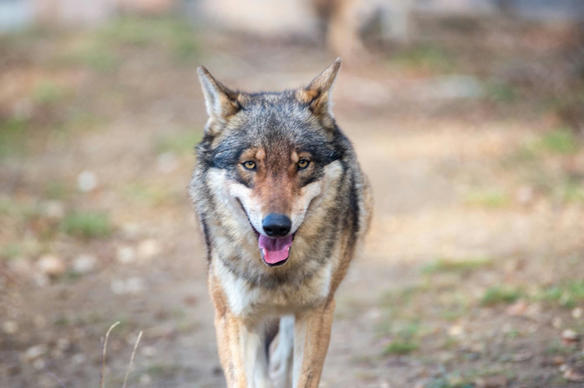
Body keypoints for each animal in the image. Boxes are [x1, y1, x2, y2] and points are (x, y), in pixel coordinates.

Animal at [189, 58, 372, 388]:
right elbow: (243, 379)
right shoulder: (232, 316)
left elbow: (302, 376)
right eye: (250, 164)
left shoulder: (317, 311)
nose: (276, 226)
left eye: (302, 163)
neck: (275, 274)